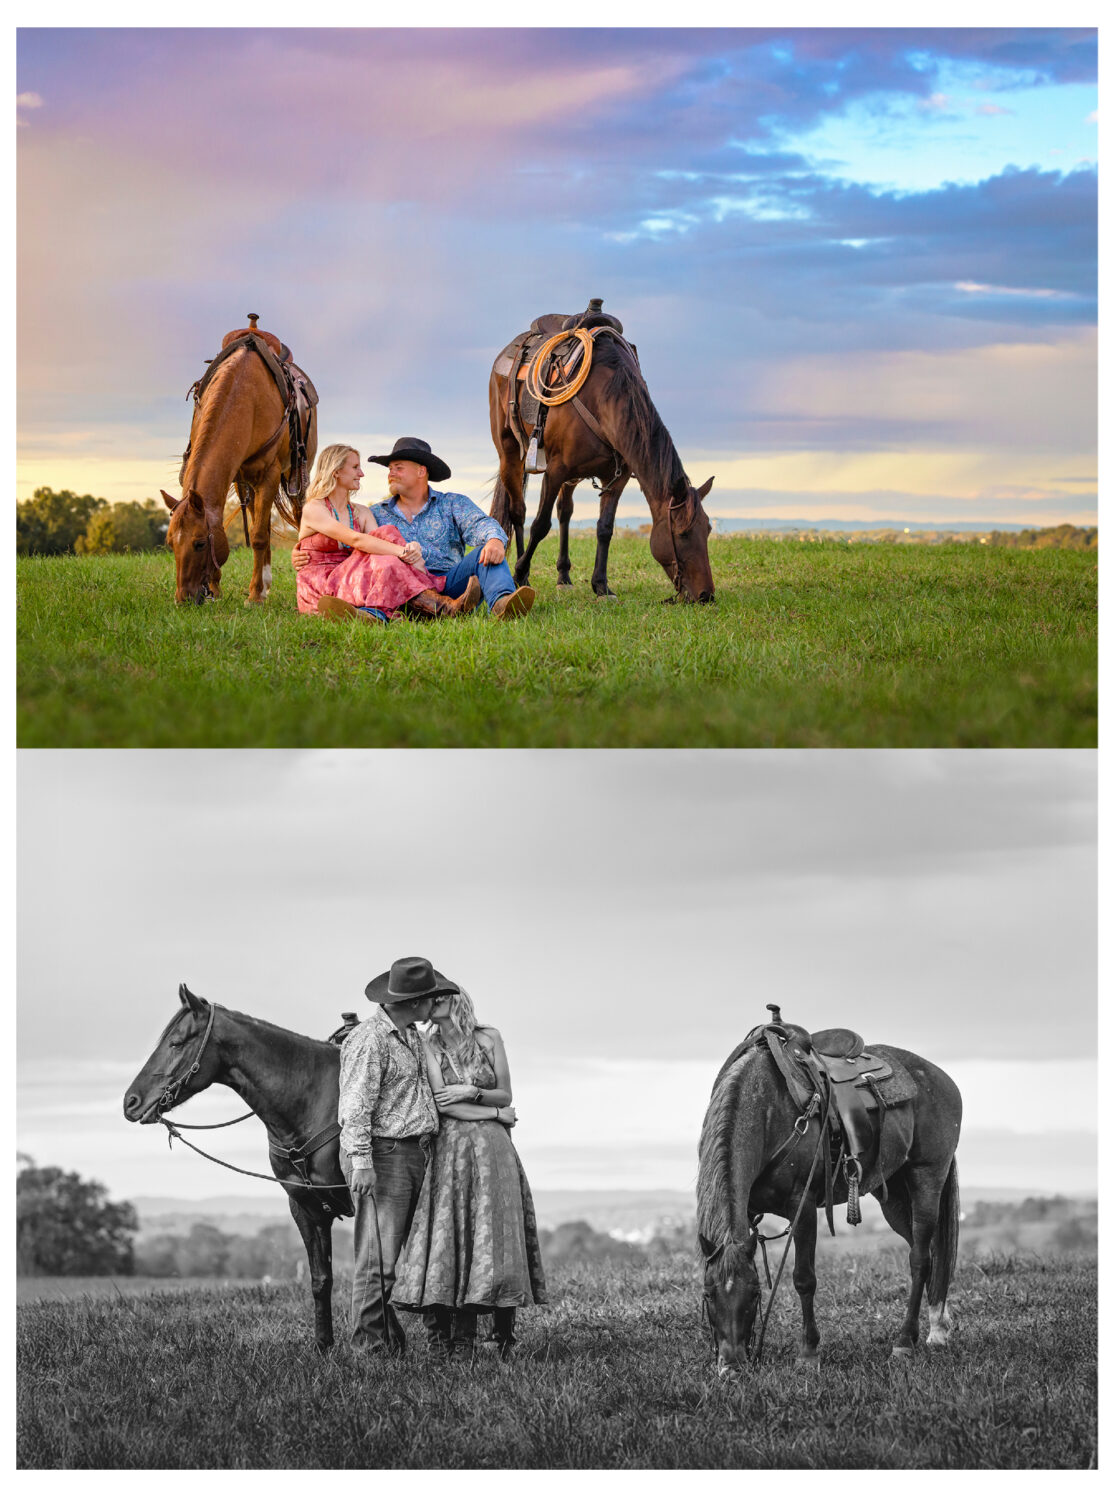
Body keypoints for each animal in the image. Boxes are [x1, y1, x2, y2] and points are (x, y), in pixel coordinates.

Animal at [123, 984, 351, 1351]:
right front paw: (324, 1346)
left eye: (177, 1042)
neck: (314, 1101)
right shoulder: (306, 1209)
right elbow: (321, 1279)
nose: (130, 1102)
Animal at [160, 316, 318, 604]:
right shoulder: (236, 477)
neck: (243, 392)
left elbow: (258, 537)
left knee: (299, 517)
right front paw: (219, 587)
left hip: (298, 476)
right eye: (170, 543)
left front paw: (254, 596)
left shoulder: (269, 475)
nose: (183, 599)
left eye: (200, 543)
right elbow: (247, 528)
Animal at [488, 312, 716, 603]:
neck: (605, 397)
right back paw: (522, 573)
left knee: (565, 511)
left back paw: (564, 577)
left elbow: (604, 528)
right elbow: (540, 525)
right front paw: (519, 573)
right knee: (519, 512)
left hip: (570, 477)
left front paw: (601, 586)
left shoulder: (616, 479)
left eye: (707, 530)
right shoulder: (555, 471)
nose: (706, 595)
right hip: (510, 455)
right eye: (683, 534)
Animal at [697, 1012, 962, 1375]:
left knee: (920, 1258)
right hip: (893, 1195)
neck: (767, 1109)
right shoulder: (748, 1211)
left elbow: (804, 1278)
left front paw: (809, 1352)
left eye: (753, 1294)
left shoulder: (803, 1205)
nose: (732, 1366)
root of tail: (942, 1079)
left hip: (927, 1177)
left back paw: (905, 1342)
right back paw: (938, 1327)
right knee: (932, 1254)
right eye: (708, 1295)